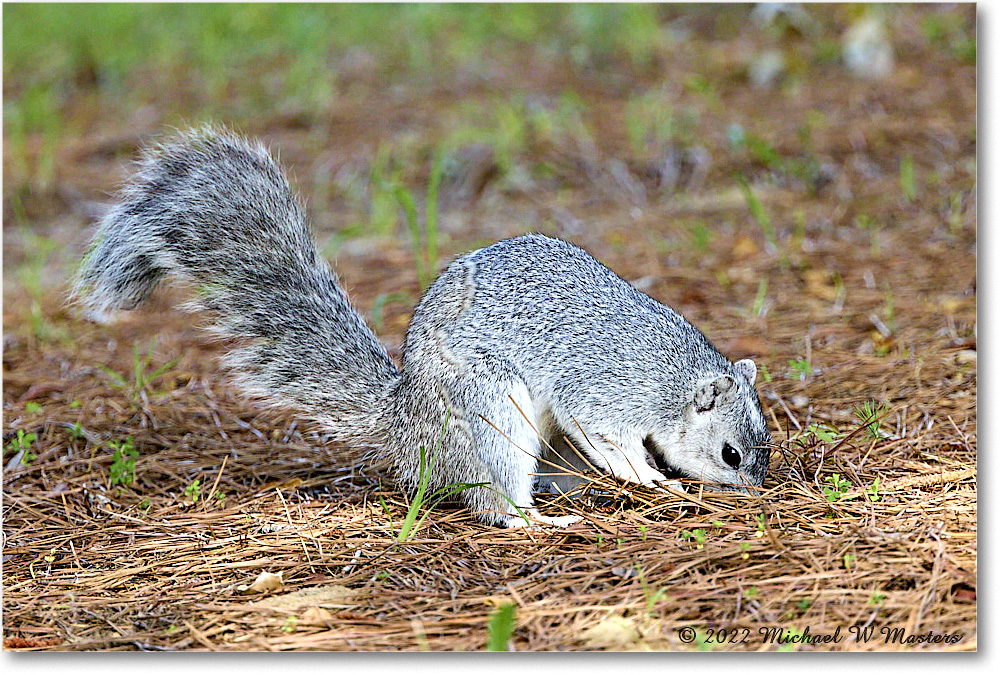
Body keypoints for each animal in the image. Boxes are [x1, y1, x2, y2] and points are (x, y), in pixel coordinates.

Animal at [76, 127, 772, 528]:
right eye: (731, 454)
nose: (759, 494)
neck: (675, 376)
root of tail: (409, 421)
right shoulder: (605, 391)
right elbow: (608, 438)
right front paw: (646, 474)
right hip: (489, 413)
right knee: (490, 495)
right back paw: (533, 519)